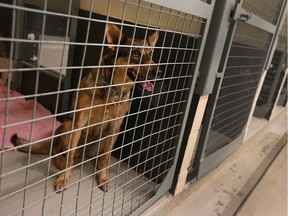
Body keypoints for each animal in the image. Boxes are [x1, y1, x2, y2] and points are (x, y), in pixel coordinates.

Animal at [11, 24, 161, 192]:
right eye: (135, 53)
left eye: (151, 53)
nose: (159, 72)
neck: (112, 88)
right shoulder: (79, 122)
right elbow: (69, 157)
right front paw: (64, 178)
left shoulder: (115, 127)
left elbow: (106, 158)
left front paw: (103, 177)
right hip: (69, 126)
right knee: (58, 150)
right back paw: (62, 163)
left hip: (102, 140)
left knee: (99, 157)